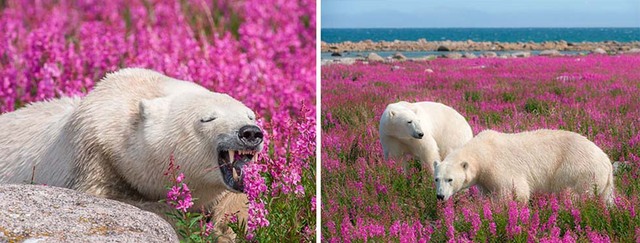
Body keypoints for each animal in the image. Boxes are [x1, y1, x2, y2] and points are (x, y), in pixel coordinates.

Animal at [436, 129, 616, 205]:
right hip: (603, 181)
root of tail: (606, 161)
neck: (483, 152)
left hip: (579, 170)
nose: (440, 196)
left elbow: (515, 192)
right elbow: (488, 193)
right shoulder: (484, 179)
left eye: (450, 179)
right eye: (436, 179)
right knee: (606, 198)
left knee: (574, 194)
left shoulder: (499, 167)